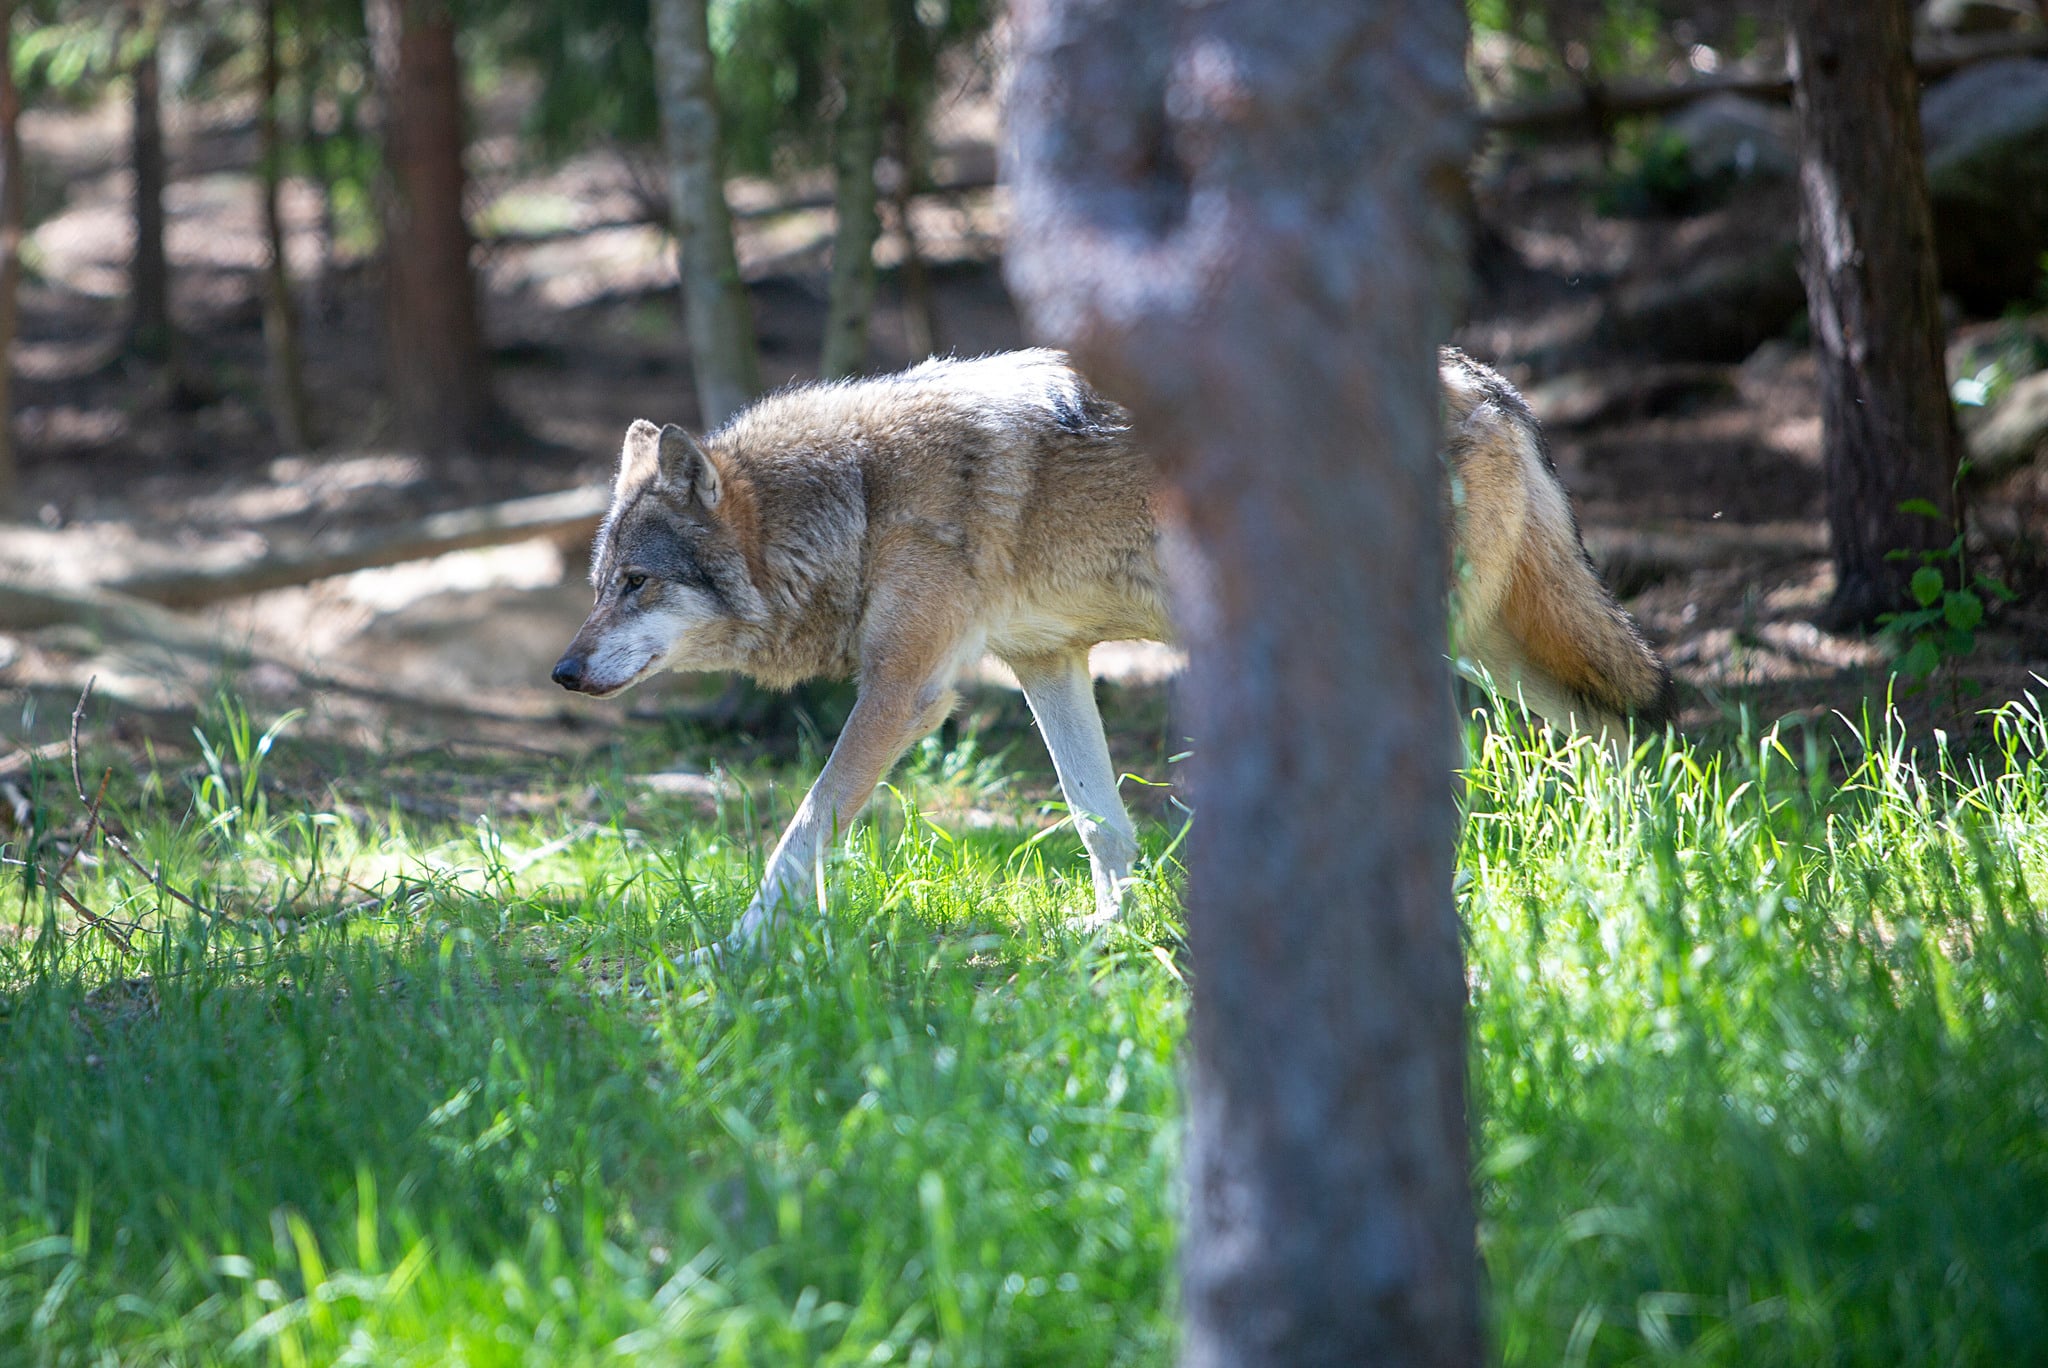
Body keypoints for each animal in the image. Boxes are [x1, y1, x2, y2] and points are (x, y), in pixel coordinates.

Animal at [552, 348, 1671, 946]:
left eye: (636, 583)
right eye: (598, 585)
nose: (561, 671)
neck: (859, 501)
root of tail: (1491, 383)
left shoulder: (907, 688)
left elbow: (801, 828)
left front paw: (736, 948)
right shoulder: (1045, 662)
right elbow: (1099, 820)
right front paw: (1113, 930)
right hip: (1495, 649)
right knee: (1614, 726)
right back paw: (1631, 861)